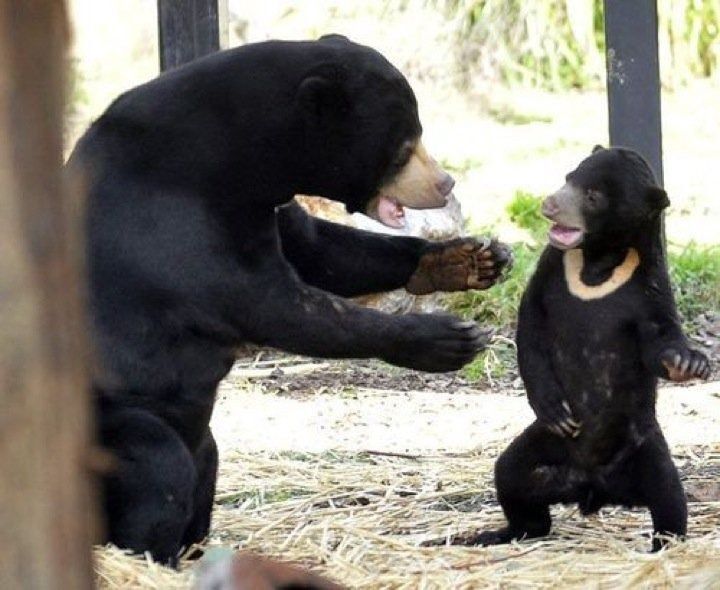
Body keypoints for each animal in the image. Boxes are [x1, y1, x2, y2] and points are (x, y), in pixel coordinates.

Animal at [67, 34, 511, 566]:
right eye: (405, 146)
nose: (445, 183)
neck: (241, 158)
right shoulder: (174, 220)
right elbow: (276, 304)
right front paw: (447, 338)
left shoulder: (267, 205)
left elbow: (320, 249)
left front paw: (473, 259)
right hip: (111, 423)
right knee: (157, 467)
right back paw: (150, 556)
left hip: (200, 439)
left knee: (204, 469)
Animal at [445, 146, 711, 552]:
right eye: (569, 177)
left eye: (593, 197)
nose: (549, 204)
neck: (597, 260)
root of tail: (592, 489)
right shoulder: (553, 266)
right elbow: (532, 323)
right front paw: (554, 407)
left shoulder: (648, 284)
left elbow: (659, 337)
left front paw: (688, 362)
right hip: (547, 446)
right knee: (511, 476)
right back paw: (501, 533)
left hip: (642, 444)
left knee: (669, 495)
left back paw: (663, 545)